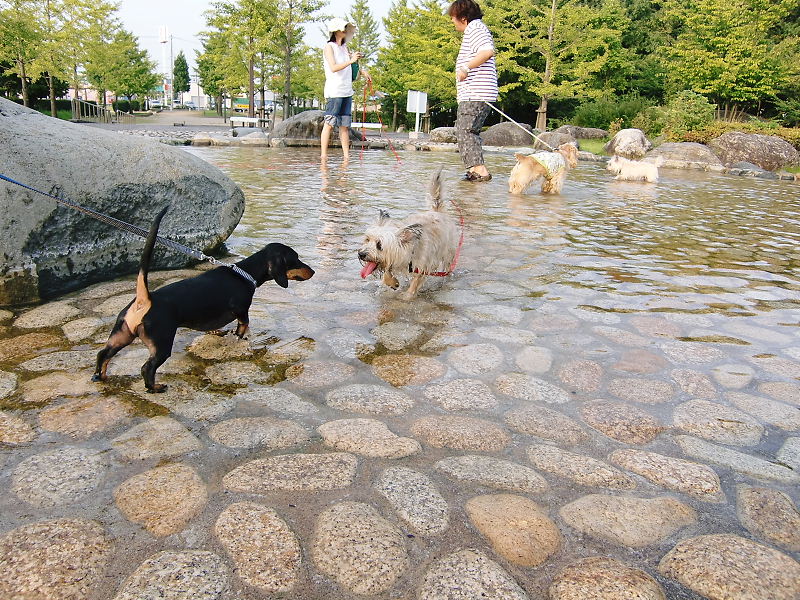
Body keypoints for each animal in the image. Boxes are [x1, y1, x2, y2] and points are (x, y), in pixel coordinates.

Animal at [93, 207, 314, 392]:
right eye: (295, 259)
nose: (313, 271)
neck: (245, 273)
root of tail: (145, 299)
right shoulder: (242, 312)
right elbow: (242, 328)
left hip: (122, 334)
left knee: (103, 354)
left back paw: (99, 376)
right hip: (161, 343)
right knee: (147, 368)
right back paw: (155, 388)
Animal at [358, 167, 458, 299]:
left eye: (379, 245)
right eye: (367, 239)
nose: (361, 254)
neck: (410, 250)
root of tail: (437, 212)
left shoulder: (422, 266)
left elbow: (415, 283)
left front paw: (406, 296)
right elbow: (387, 271)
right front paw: (392, 282)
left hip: (448, 254)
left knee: (447, 268)